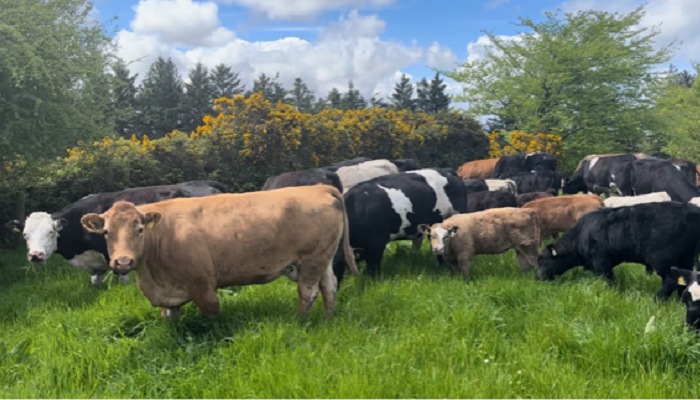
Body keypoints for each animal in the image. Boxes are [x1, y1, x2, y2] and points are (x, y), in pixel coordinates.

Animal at [8, 181, 227, 286]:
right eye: (25, 234)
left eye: (51, 231)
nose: (35, 255)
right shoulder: (96, 264)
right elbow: (95, 281)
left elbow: (122, 277)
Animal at [79, 185, 358, 319]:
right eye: (106, 232)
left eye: (139, 229)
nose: (123, 261)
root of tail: (318, 187)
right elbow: (169, 317)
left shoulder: (202, 286)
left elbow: (213, 314)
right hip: (323, 259)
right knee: (330, 286)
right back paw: (328, 318)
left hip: (311, 261)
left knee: (308, 293)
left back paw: (301, 322)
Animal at [537, 202, 700, 300]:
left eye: (542, 261)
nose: (538, 277)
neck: (581, 234)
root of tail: (691, 209)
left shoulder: (601, 261)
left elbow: (609, 279)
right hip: (685, 258)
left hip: (663, 259)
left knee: (671, 280)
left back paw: (655, 299)